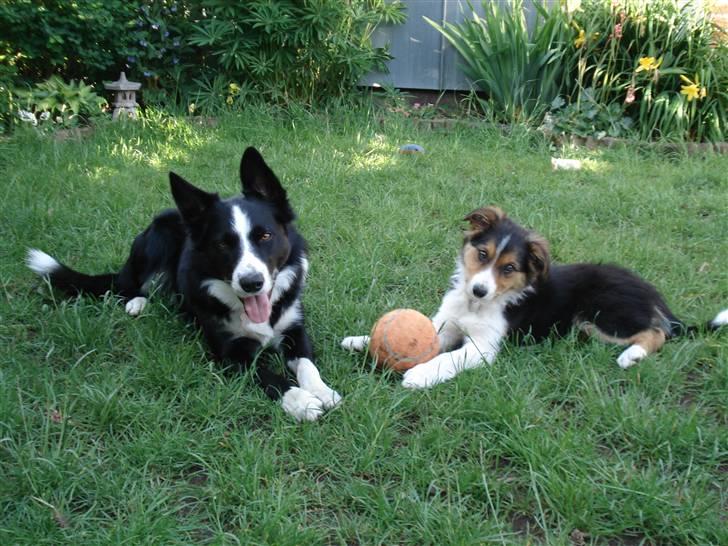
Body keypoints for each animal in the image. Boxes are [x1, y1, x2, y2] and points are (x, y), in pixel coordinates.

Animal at [28, 147, 342, 418]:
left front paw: (322, 391)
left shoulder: (294, 330)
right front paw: (301, 401)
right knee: (129, 285)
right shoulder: (229, 353)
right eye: (222, 244)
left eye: (265, 236)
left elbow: (307, 365)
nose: (251, 283)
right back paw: (137, 302)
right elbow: (267, 376)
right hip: (159, 237)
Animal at [342, 205, 728, 386]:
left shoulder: (484, 347)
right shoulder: (446, 323)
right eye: (482, 255)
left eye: (510, 268)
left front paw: (420, 375)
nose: (479, 288)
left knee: (658, 332)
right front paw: (362, 341)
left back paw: (630, 355)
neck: (476, 305)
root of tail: (654, 296)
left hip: (602, 313)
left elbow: (448, 358)